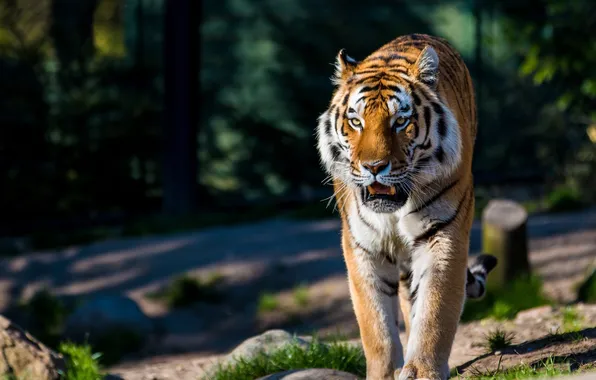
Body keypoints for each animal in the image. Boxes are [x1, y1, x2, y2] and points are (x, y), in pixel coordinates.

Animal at [316, 33, 498, 380]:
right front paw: (385, 374)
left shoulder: (443, 234)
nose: (374, 166)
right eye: (356, 122)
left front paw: (423, 370)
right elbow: (375, 325)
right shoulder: (362, 246)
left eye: (400, 122)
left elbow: (435, 309)